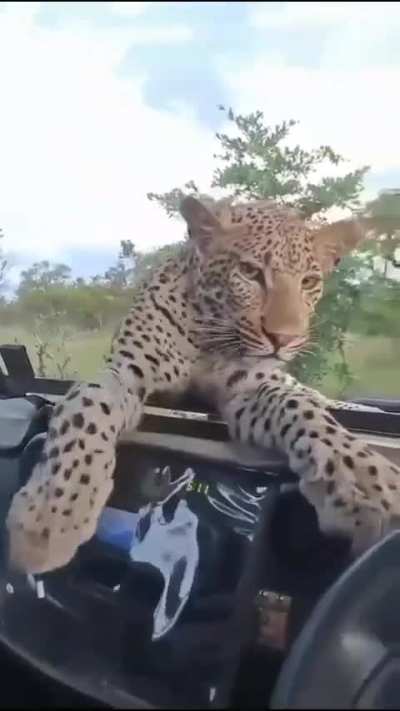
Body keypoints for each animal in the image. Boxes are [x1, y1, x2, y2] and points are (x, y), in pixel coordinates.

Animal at [6, 196, 400, 575]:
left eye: (308, 282)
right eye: (250, 273)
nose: (284, 340)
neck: (207, 333)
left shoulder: (250, 387)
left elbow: (304, 410)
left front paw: (365, 485)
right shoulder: (125, 371)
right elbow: (85, 409)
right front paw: (50, 516)